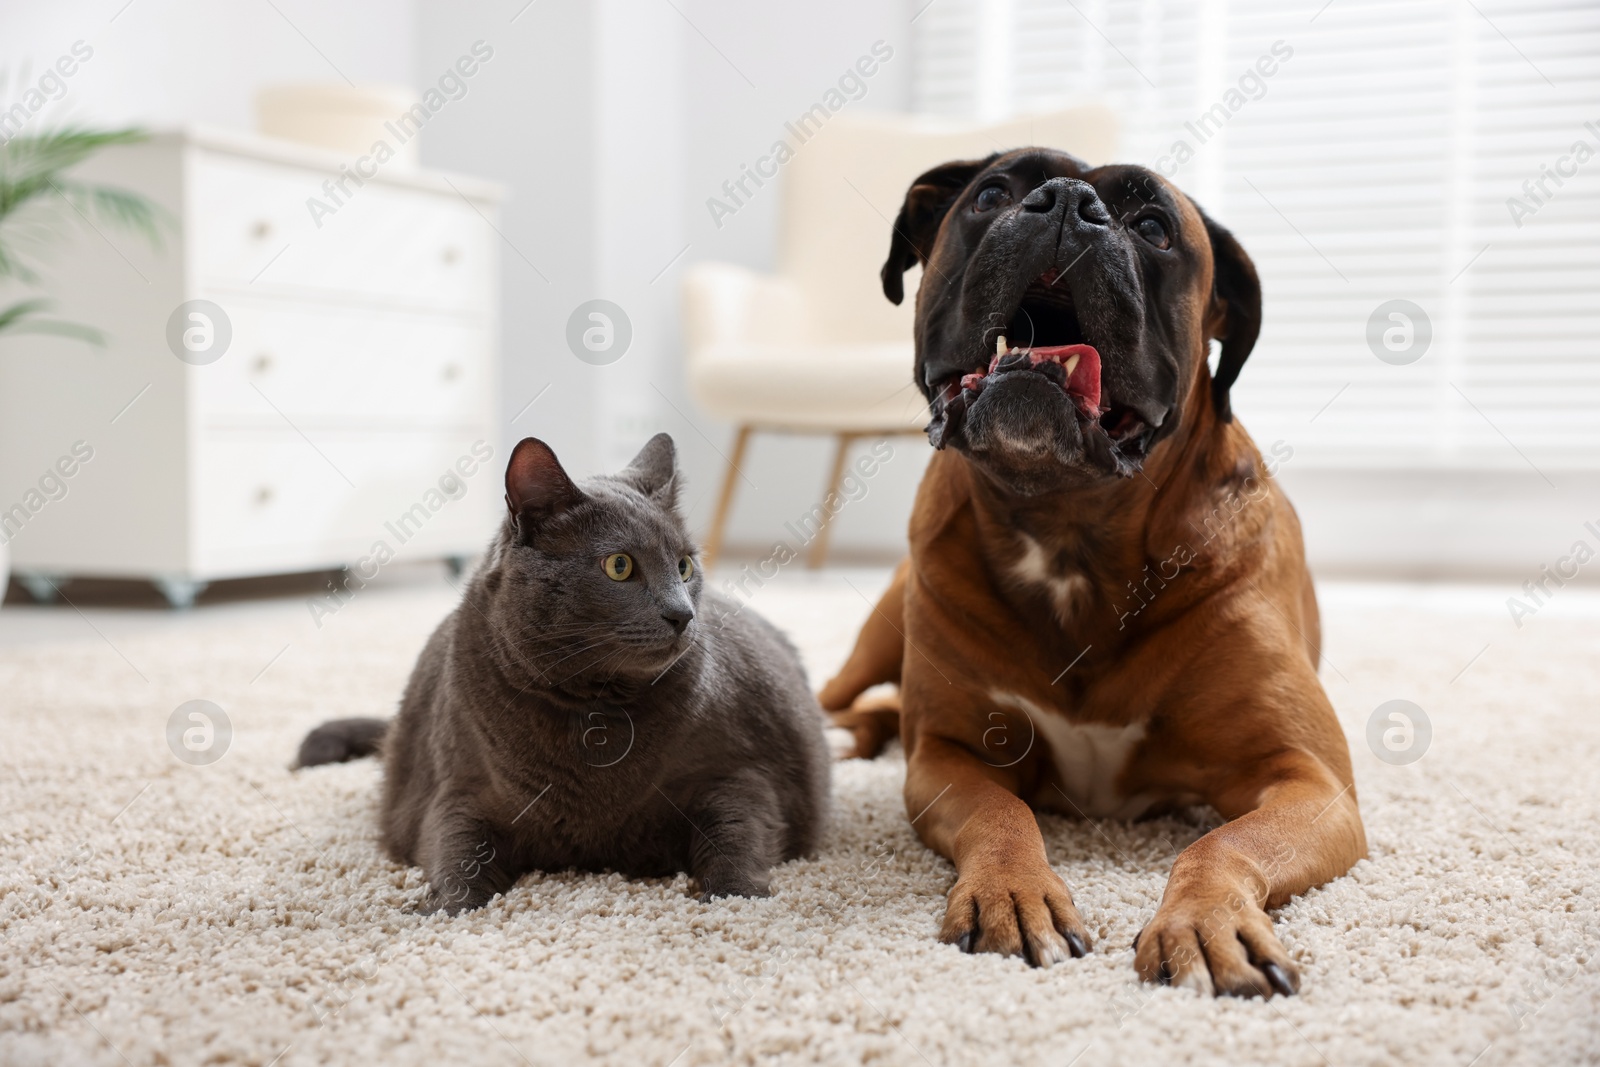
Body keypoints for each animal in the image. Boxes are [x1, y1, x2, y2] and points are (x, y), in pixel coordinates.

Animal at [294, 428, 832, 915]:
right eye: (619, 566)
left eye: (683, 566)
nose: (683, 613)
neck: (595, 714)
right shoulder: (455, 790)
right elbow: (456, 852)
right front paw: (442, 908)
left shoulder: (742, 771)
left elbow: (736, 836)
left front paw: (737, 899)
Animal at [825, 151, 1363, 1004]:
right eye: (993, 193)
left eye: (1153, 227)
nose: (1067, 202)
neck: (1067, 526)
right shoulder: (948, 756)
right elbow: (1001, 815)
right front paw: (1013, 893)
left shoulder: (1307, 781)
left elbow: (1221, 845)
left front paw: (1204, 923)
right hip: (875, 641)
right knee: (844, 696)